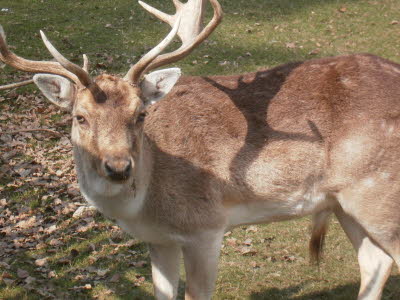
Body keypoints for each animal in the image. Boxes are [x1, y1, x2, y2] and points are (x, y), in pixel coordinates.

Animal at [2, 0, 400, 300]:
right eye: (80, 117)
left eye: (141, 113)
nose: (118, 167)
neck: (146, 204)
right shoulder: (158, 239)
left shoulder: (205, 226)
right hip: (345, 202)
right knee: (375, 262)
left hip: (380, 194)